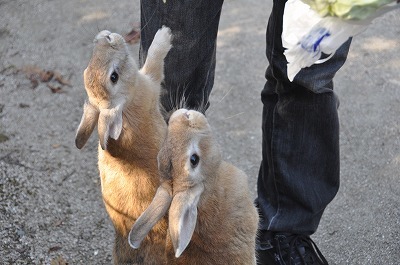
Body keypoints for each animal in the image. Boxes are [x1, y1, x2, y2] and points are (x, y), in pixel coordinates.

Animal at [76, 25, 173, 262]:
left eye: (85, 71)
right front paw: (164, 35)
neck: (126, 101)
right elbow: (155, 59)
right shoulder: (150, 81)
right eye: (114, 76)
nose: (106, 37)